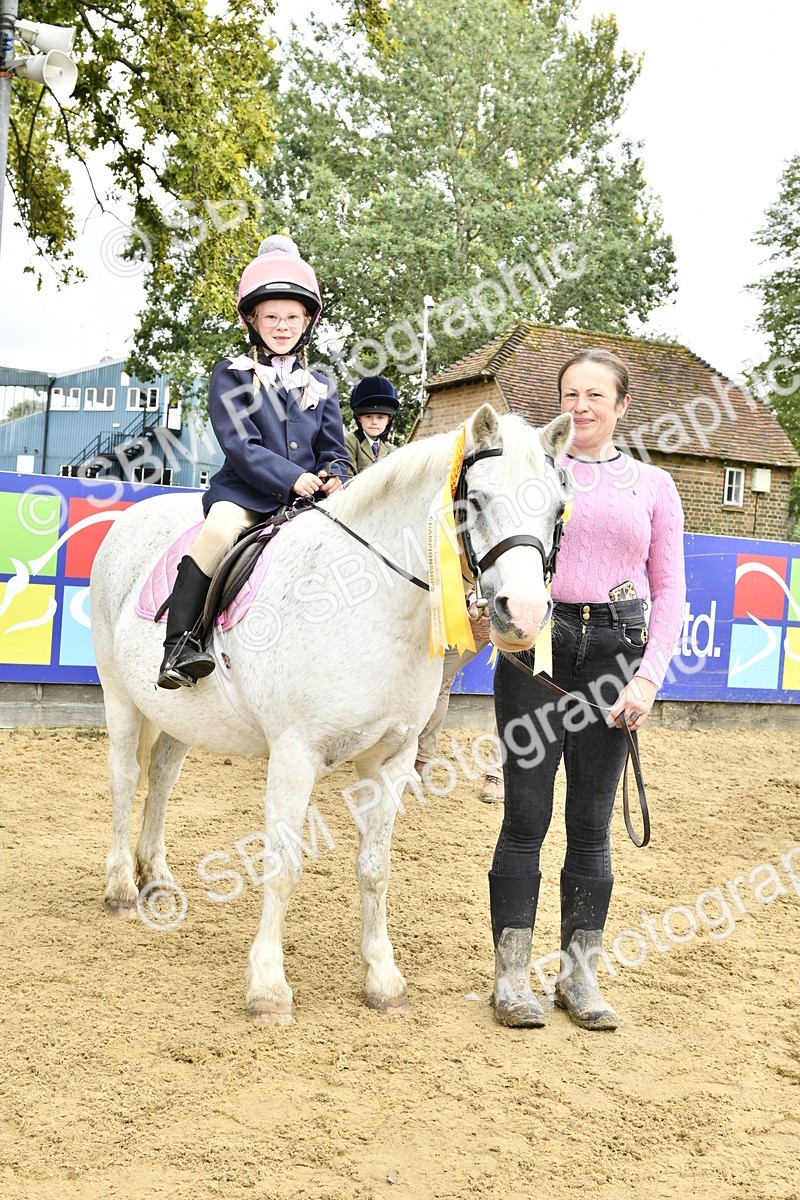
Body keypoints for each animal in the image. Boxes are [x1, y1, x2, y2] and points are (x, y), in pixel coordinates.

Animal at [91, 403, 572, 1023]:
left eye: (557, 508)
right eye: (478, 501)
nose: (525, 615)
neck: (370, 602)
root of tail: (133, 515)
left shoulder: (391, 760)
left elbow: (375, 869)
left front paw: (383, 980)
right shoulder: (295, 755)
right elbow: (284, 865)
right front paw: (268, 988)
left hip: (181, 714)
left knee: (162, 779)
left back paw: (157, 880)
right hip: (120, 695)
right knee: (126, 778)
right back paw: (122, 889)